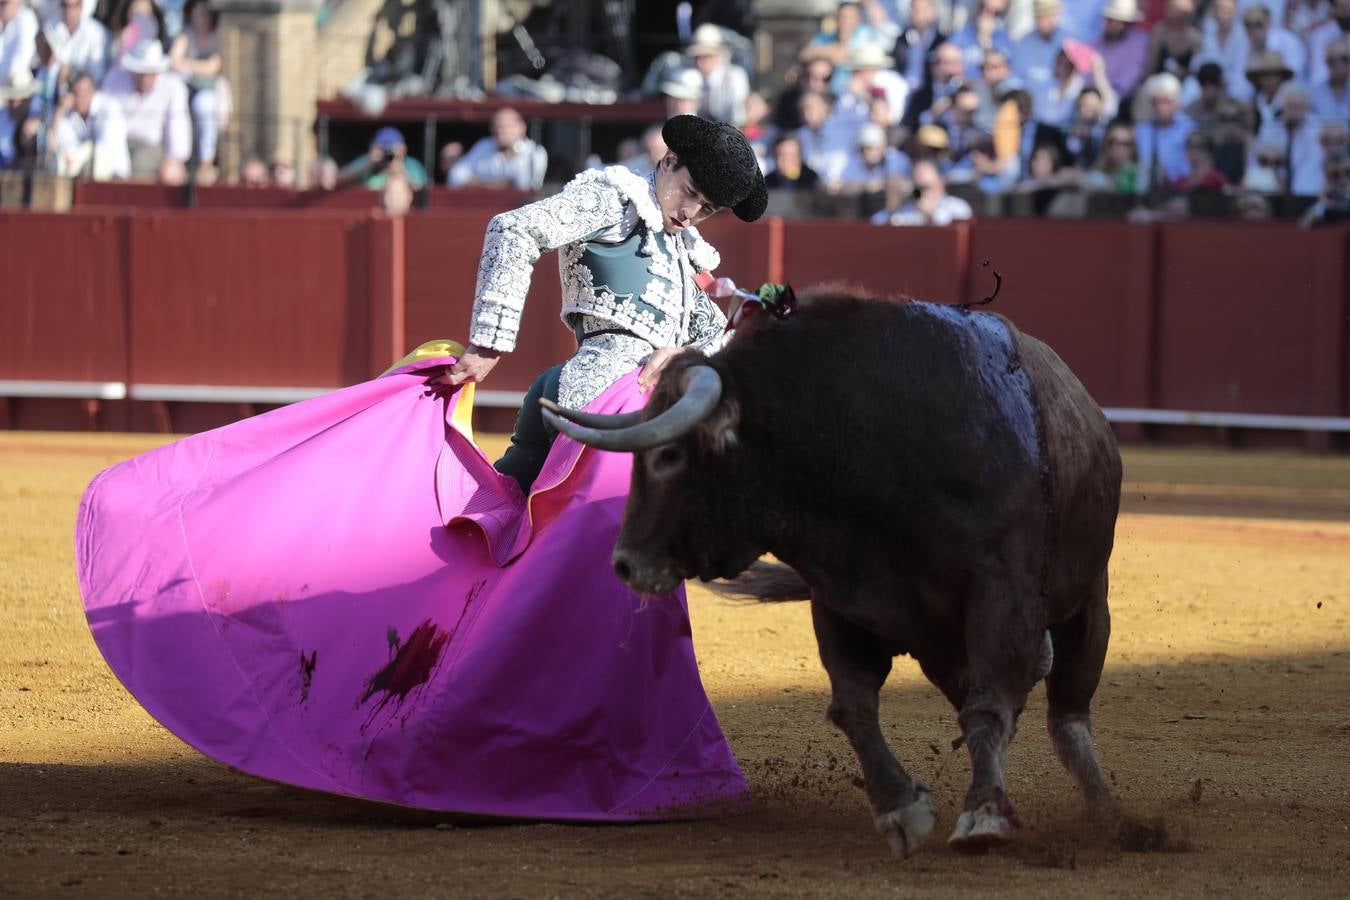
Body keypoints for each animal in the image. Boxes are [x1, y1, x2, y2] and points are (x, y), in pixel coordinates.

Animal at [542, 288, 1123, 858]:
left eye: (667, 455)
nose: (624, 563)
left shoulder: (1001, 592)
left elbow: (990, 701)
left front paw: (983, 814)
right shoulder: (843, 600)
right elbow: (855, 706)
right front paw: (901, 809)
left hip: (1087, 602)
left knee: (1067, 714)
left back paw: (1108, 813)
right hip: (942, 647)